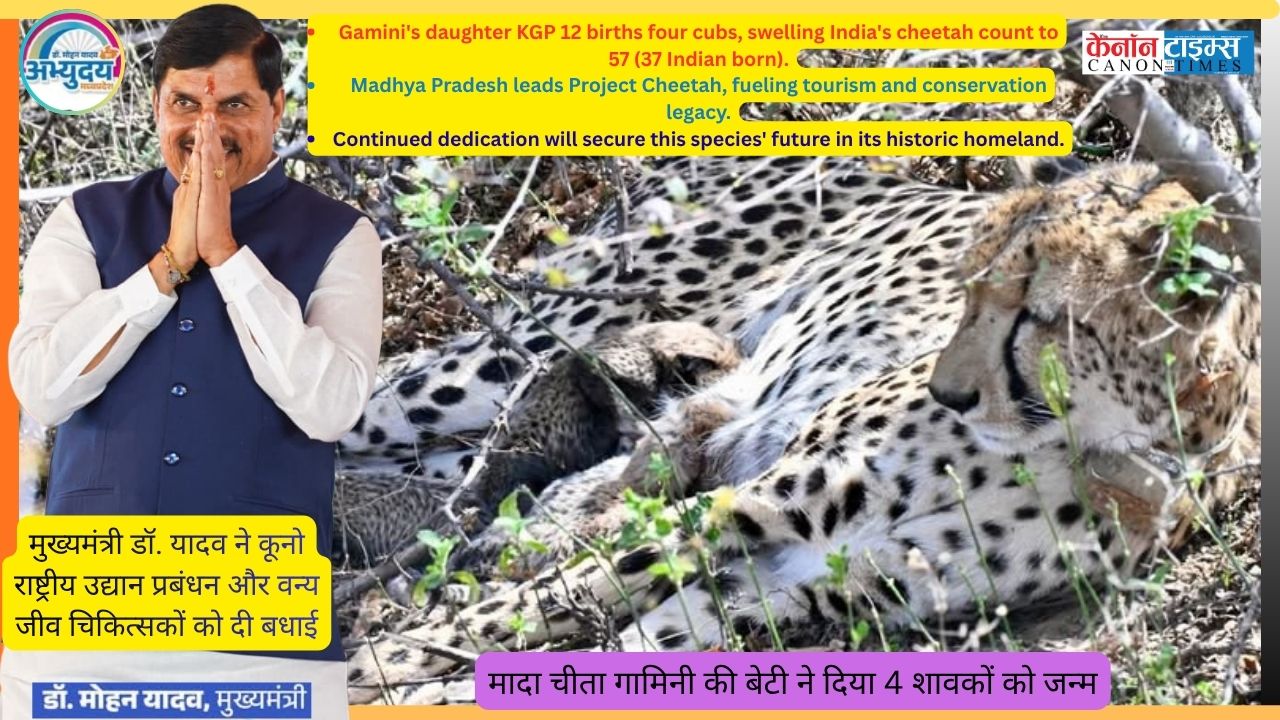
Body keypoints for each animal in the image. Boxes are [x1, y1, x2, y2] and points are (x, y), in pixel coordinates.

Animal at [340, 156, 1260, 706]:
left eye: (1034, 312)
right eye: (964, 288)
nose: (949, 390)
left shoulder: (801, 582)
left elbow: (603, 640)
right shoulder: (749, 504)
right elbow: (508, 616)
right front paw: (371, 670)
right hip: (514, 350)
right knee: (360, 400)